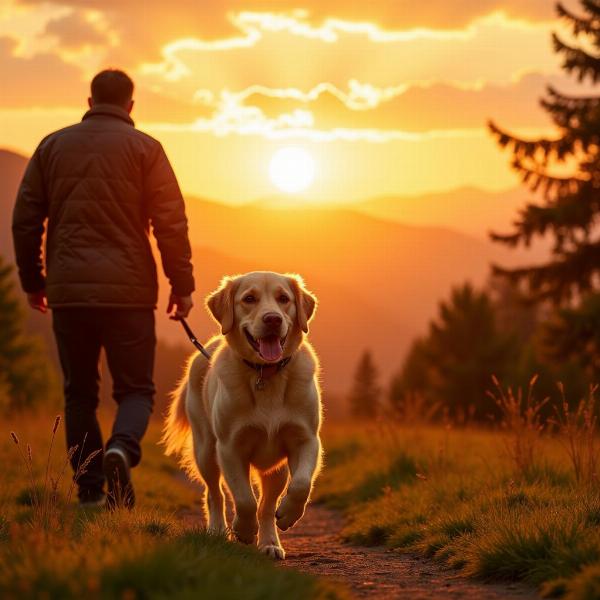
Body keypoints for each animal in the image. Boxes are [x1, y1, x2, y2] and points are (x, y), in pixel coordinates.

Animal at [163, 272, 324, 556]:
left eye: (284, 298)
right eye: (249, 299)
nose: (272, 319)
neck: (266, 374)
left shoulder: (306, 440)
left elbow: (301, 484)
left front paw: (288, 514)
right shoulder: (229, 447)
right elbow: (244, 498)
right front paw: (244, 530)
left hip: (276, 470)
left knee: (267, 506)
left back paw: (270, 543)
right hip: (205, 450)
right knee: (215, 494)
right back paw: (217, 530)